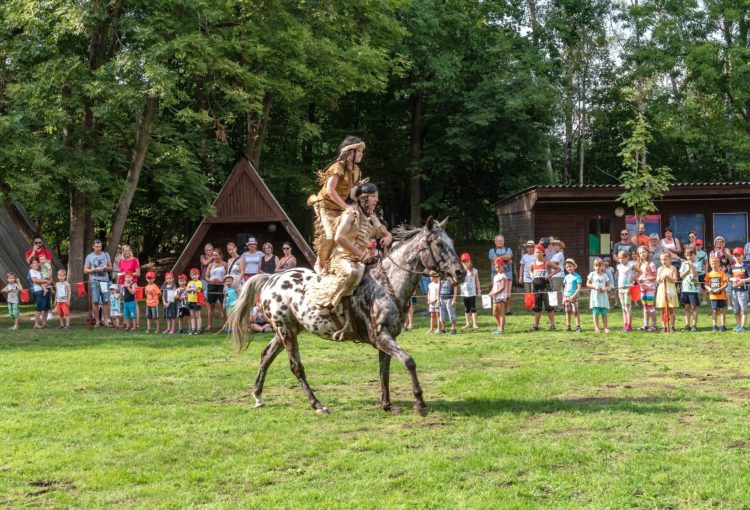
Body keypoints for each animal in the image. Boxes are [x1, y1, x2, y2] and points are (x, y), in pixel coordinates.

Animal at [226, 217, 468, 416]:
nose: (461, 273)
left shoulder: (387, 338)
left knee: (266, 355)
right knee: (296, 367)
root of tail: (271, 278)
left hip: (287, 330)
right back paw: (318, 405)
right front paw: (419, 402)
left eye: (452, 243)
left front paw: (387, 405)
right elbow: (408, 361)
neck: (387, 283)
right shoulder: (381, 337)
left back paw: (258, 396)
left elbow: (384, 371)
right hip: (286, 332)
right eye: (438, 244)